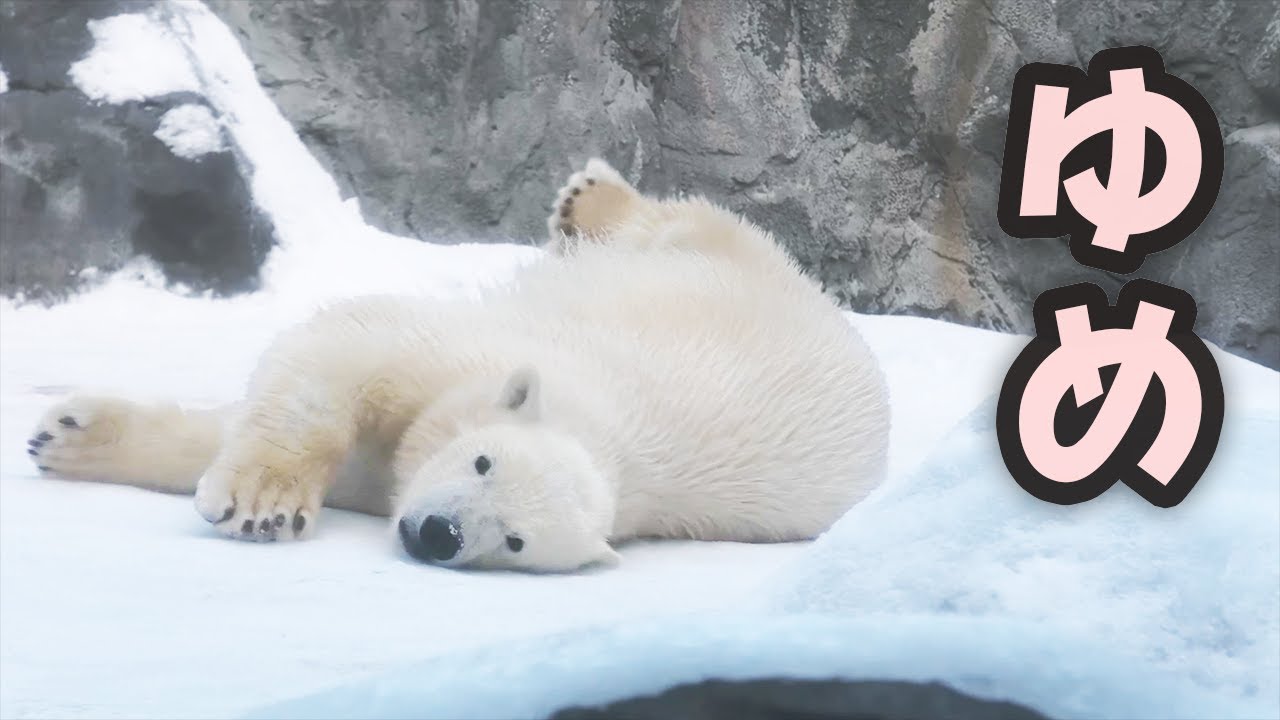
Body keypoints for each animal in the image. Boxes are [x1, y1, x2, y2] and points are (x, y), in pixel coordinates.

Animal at [26, 159, 891, 573]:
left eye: (515, 541)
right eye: (483, 461)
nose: (439, 534)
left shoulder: (406, 471)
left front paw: (71, 434)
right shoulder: (477, 357)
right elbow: (349, 343)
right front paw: (263, 500)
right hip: (733, 271)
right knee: (686, 225)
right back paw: (589, 199)